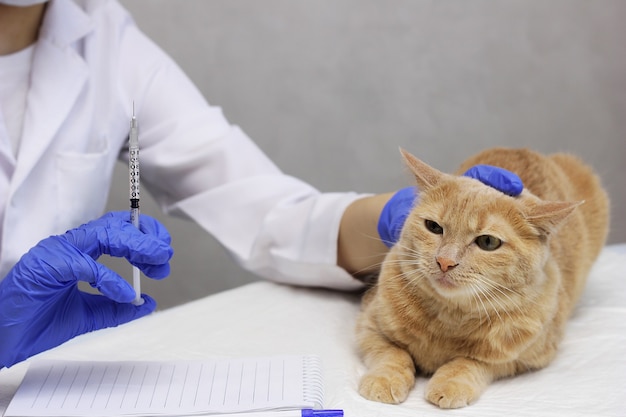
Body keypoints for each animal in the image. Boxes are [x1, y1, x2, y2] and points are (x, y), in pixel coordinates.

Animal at [356, 146, 604, 406]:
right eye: (433, 227)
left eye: (488, 242)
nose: (445, 261)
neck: (449, 318)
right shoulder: (368, 325)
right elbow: (392, 353)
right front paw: (385, 378)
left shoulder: (522, 357)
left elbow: (470, 362)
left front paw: (451, 382)